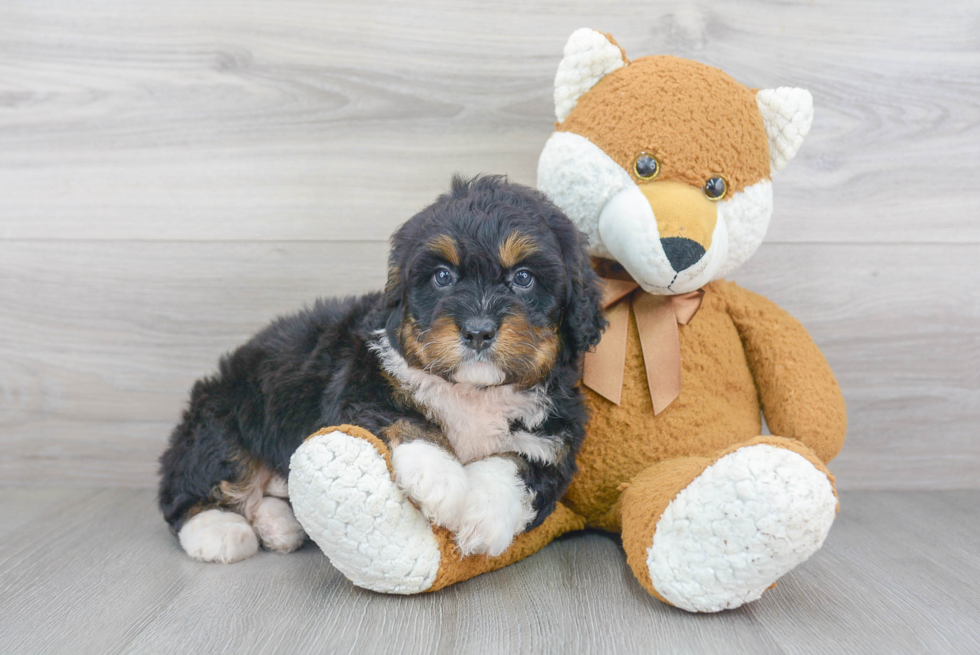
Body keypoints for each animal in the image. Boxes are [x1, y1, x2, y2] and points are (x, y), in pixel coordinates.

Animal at [160, 174, 604, 564]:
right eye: (443, 276)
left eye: (524, 278)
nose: (478, 331)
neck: (473, 391)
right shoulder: (358, 386)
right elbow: (403, 418)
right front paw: (440, 479)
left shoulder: (555, 438)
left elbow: (516, 465)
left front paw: (484, 515)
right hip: (224, 416)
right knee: (196, 484)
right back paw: (221, 531)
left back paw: (279, 524)